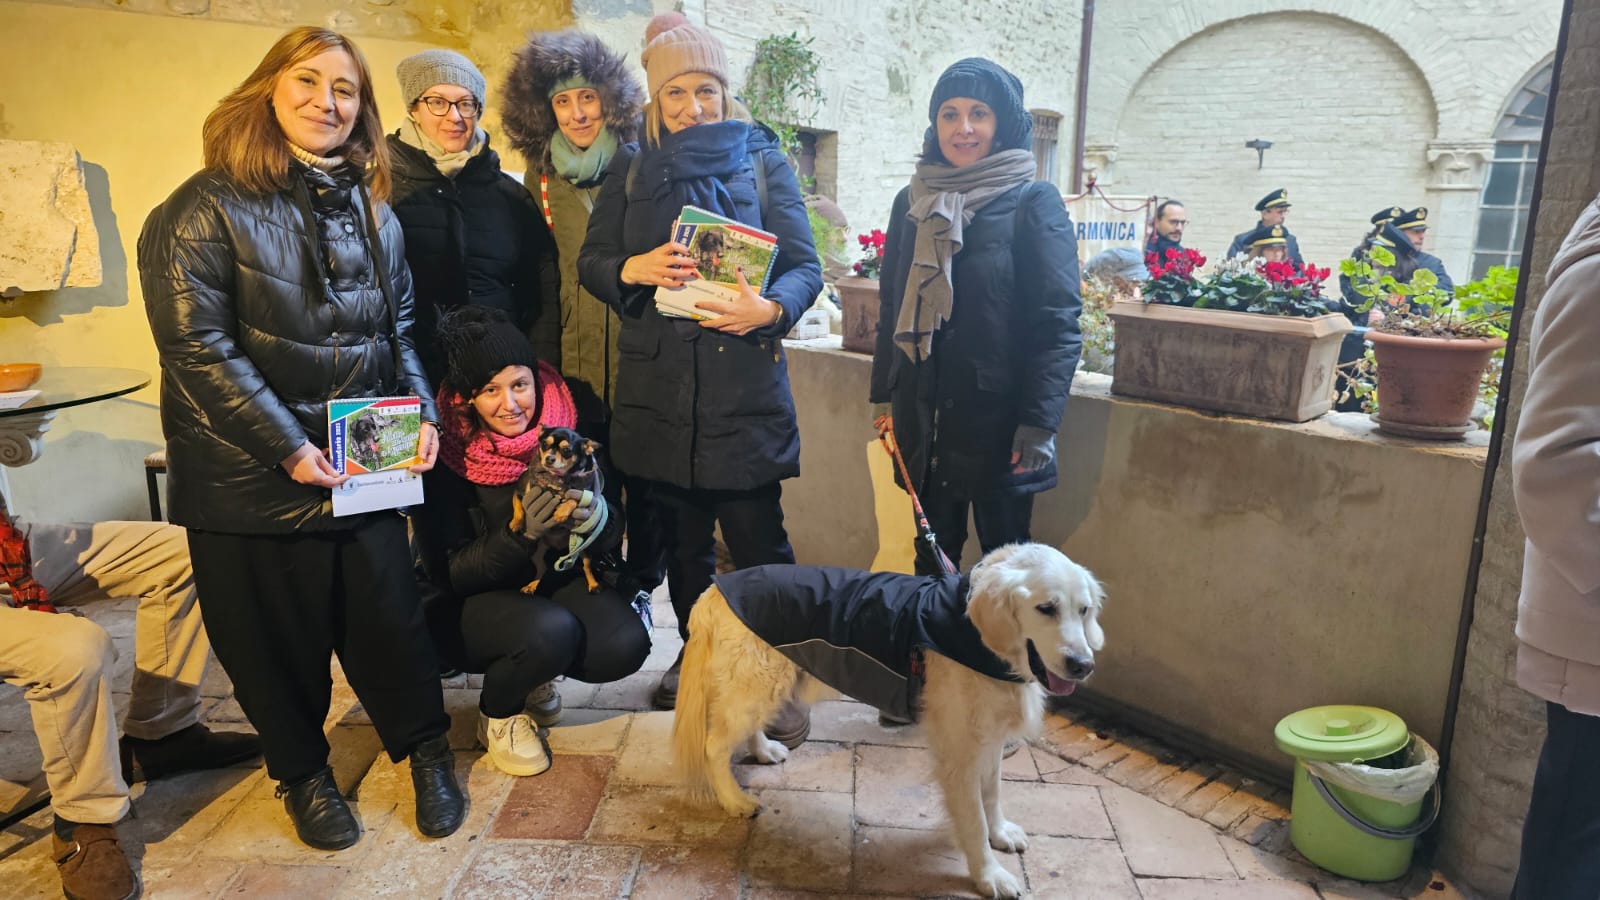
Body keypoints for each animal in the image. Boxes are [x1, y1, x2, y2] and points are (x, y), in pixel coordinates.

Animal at [668, 538, 1107, 896]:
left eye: (1083, 609)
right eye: (1046, 608)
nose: (1083, 665)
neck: (971, 632)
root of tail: (712, 591)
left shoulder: (988, 736)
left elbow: (993, 794)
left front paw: (1001, 833)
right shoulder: (960, 750)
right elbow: (974, 821)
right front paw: (989, 876)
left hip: (765, 684)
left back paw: (764, 751)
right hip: (752, 685)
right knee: (712, 748)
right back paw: (734, 800)